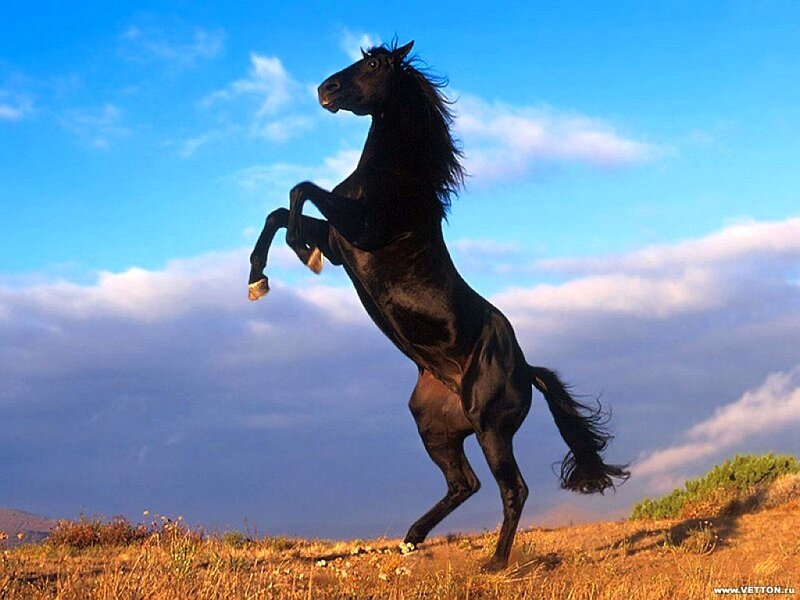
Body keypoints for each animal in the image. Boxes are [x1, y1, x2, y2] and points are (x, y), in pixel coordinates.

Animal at [247, 40, 629, 571]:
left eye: (373, 64)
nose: (325, 89)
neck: (395, 177)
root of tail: (526, 368)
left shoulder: (359, 230)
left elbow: (300, 192)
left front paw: (301, 254)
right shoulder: (344, 244)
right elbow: (279, 212)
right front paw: (258, 278)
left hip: (491, 429)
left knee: (512, 489)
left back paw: (494, 563)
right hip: (436, 427)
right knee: (463, 483)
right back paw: (411, 538)